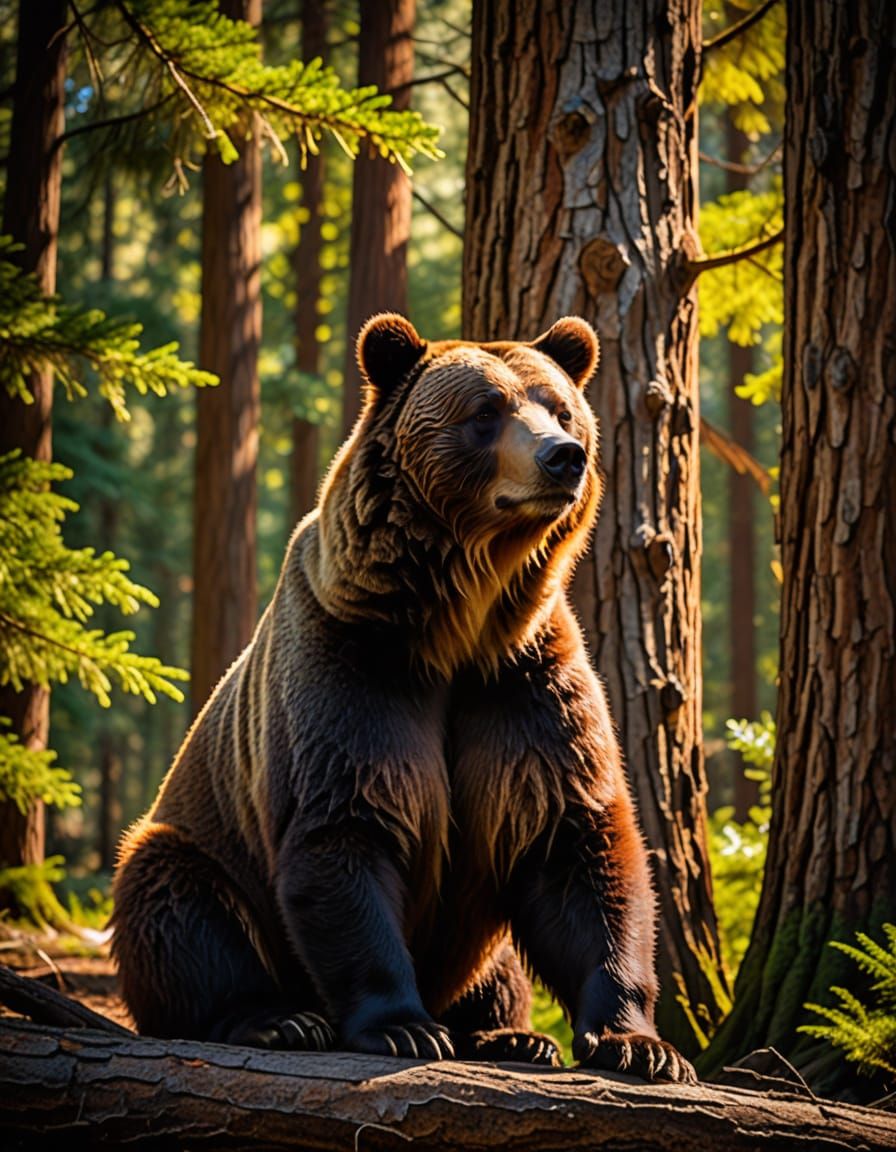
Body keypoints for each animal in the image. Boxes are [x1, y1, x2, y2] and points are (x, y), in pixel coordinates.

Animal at [111, 313, 695, 1084]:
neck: (459, 625)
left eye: (561, 408)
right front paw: (403, 1026)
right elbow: (346, 826)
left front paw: (639, 1043)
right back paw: (276, 1018)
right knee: (177, 900)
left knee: (498, 964)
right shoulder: (353, 664)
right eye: (486, 413)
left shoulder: (525, 679)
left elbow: (575, 837)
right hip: (200, 845)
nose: (562, 457)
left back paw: (509, 1034)